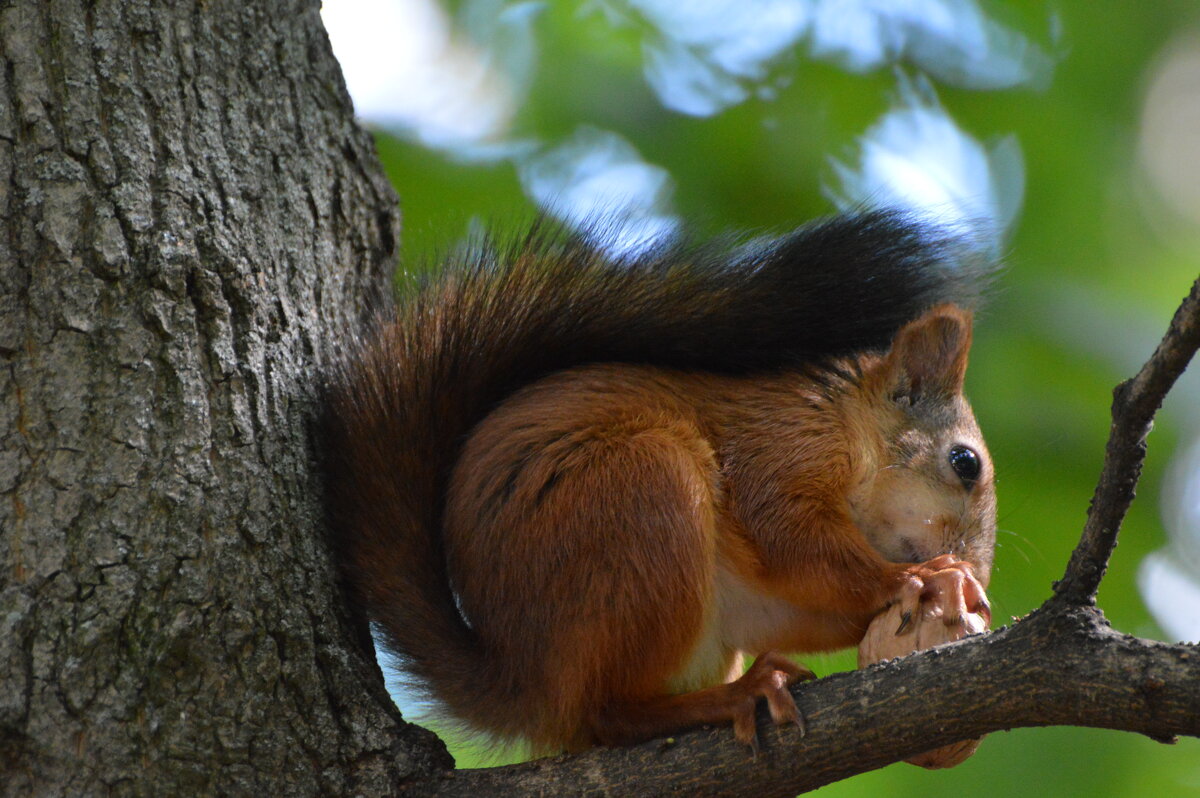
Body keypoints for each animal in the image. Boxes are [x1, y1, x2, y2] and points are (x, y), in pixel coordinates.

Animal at [321, 208, 1003, 748]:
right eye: (964, 463)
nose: (979, 570)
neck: (847, 427)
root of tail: (525, 683)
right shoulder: (780, 449)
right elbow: (792, 540)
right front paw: (924, 576)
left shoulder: (765, 599)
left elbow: (801, 603)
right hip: (640, 495)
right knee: (605, 714)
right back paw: (733, 697)